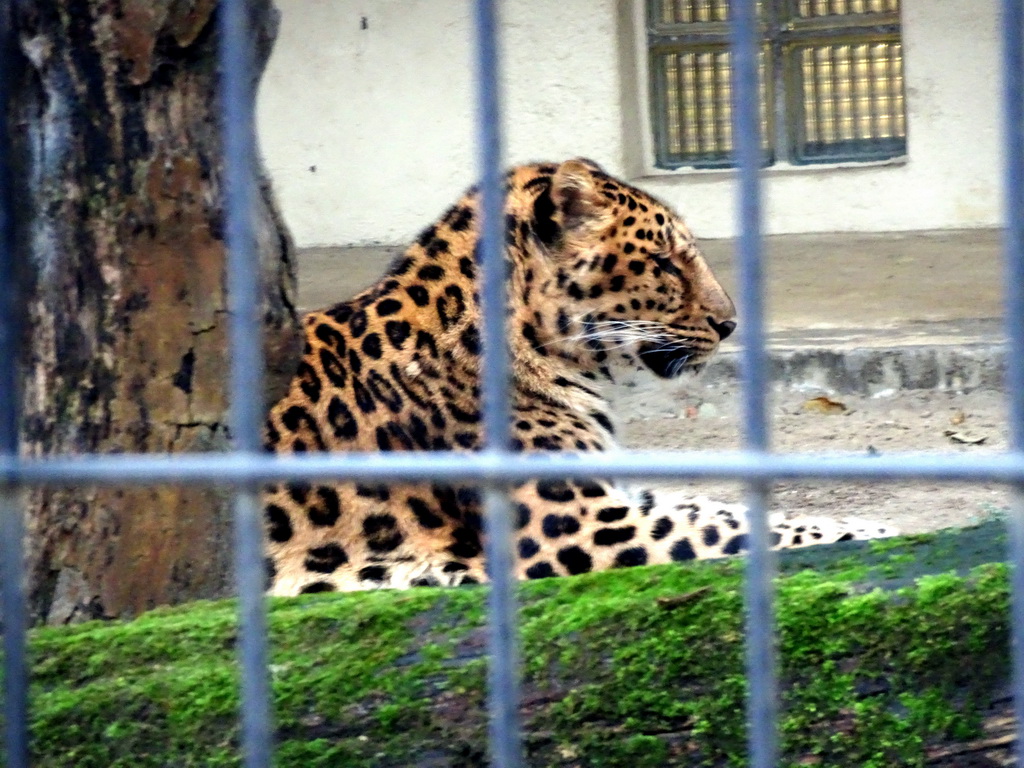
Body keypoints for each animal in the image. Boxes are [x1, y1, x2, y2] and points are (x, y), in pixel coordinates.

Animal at [264, 159, 897, 598]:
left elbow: (725, 511)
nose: (730, 323)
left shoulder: (617, 493)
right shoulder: (584, 530)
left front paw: (858, 523)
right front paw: (867, 534)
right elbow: (734, 534)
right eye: (664, 262)